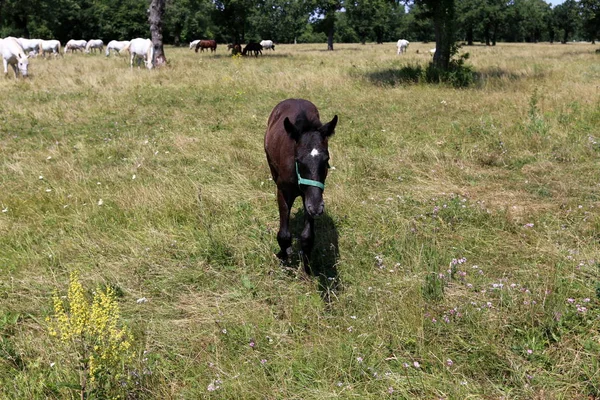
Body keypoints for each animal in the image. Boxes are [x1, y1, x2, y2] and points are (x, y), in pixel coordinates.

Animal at [264, 99, 340, 276]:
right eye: (298, 160)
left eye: (326, 159)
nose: (317, 208)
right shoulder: (283, 192)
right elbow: (284, 235)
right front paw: (283, 258)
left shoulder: (310, 195)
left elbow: (307, 237)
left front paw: (307, 270)